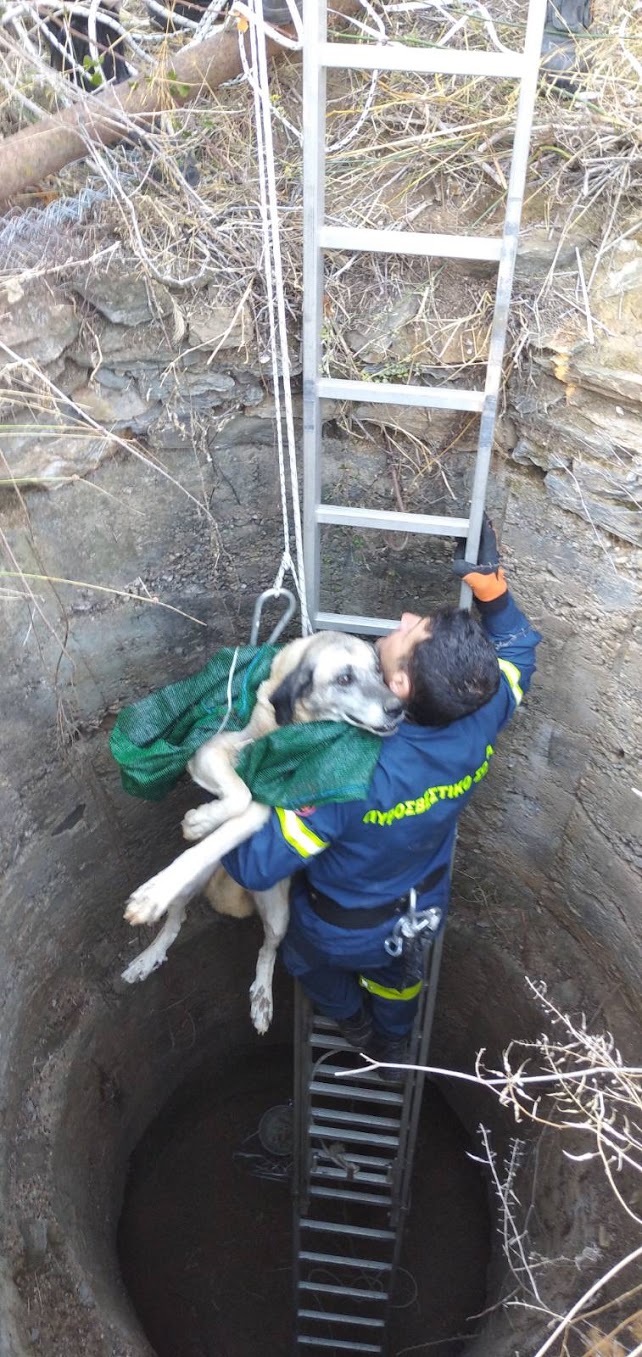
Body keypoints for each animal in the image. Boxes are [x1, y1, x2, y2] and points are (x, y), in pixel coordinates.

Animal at [121, 629, 401, 1031]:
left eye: (379, 672)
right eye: (345, 678)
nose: (397, 707)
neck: (289, 725)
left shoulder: (279, 792)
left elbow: (250, 804)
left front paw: (205, 819)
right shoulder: (209, 751)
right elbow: (240, 794)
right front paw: (200, 821)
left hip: (279, 913)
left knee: (268, 948)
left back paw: (262, 996)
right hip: (194, 885)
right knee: (176, 919)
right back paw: (149, 947)